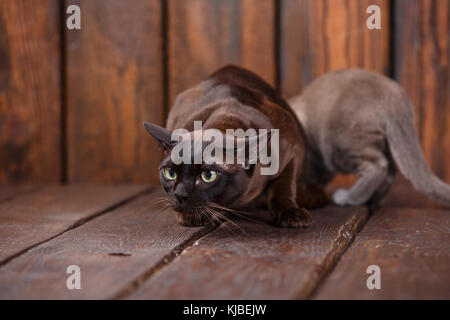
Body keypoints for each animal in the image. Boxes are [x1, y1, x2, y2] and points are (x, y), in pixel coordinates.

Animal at [144, 65, 326, 228]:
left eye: (208, 175)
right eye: (170, 173)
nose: (179, 195)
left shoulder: (293, 148)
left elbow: (283, 186)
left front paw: (291, 215)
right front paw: (192, 216)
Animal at [288, 69, 450, 206]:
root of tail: (394, 95)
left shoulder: (315, 159)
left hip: (340, 146)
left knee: (377, 167)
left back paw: (347, 198)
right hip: (382, 145)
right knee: (389, 173)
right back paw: (372, 200)